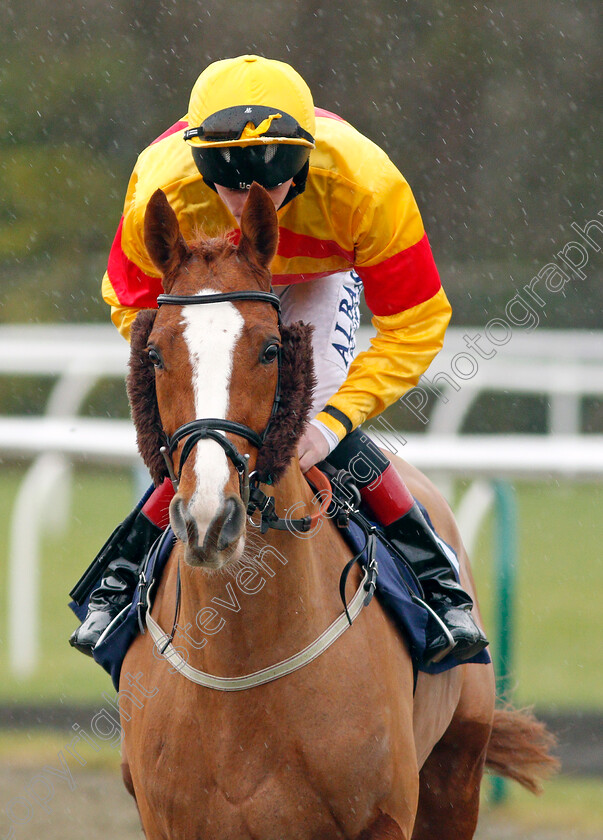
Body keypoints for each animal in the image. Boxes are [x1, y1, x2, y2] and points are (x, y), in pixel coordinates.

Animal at [120, 185, 560, 840]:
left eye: (271, 350)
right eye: (153, 354)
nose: (209, 519)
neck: (243, 663)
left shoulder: (383, 818)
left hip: (456, 774)